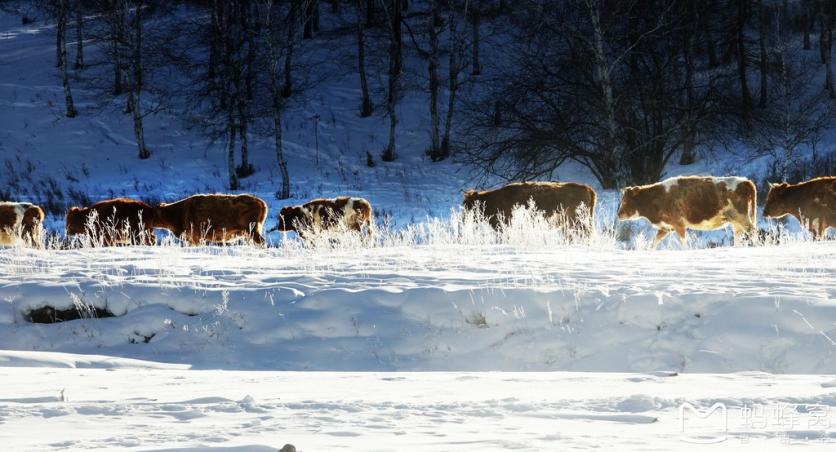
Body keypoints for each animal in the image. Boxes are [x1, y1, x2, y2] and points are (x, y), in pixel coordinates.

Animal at [612, 176, 756, 247]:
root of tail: (745, 181)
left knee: (753, 232)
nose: (618, 214)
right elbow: (654, 243)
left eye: (625, 201)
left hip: (742, 217)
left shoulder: (679, 225)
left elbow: (683, 243)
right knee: (738, 236)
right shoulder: (665, 228)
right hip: (736, 221)